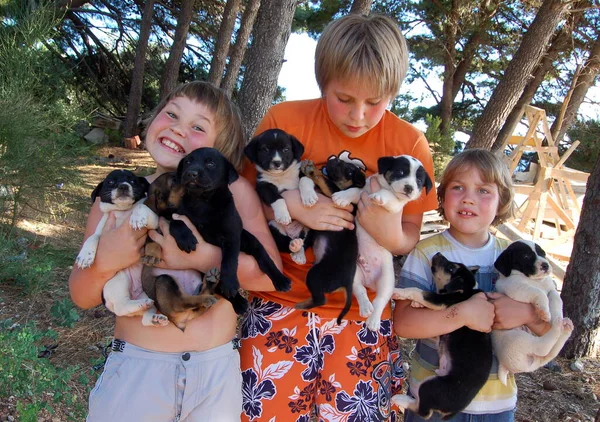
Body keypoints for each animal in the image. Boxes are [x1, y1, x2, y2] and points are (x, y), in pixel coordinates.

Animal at [75, 168, 155, 316]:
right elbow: (92, 237)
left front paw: (136, 218)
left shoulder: (153, 221)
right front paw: (85, 256)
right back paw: (142, 305)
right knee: (121, 307)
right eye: (111, 182)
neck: (122, 211)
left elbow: (140, 207)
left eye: (132, 181)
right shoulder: (101, 231)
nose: (123, 186)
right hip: (119, 281)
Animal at [168, 147, 292, 314]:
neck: (203, 201)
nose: (190, 173)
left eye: (211, 163)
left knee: (266, 260)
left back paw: (281, 280)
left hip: (251, 241)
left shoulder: (231, 236)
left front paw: (229, 283)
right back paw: (239, 303)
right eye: (187, 161)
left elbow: (229, 260)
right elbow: (175, 222)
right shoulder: (179, 213)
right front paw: (186, 239)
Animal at [294, 153, 368, 324]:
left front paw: (312, 170)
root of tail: (348, 282)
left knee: (321, 300)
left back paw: (301, 305)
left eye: (350, 171)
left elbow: (324, 180)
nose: (334, 159)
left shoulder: (333, 193)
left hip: (315, 275)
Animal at [330, 153, 434, 332]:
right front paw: (342, 197)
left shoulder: (396, 206)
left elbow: (390, 196)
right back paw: (366, 307)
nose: (409, 188)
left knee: (380, 301)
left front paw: (380, 195)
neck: (384, 185)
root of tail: (371, 283)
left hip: (387, 281)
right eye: (401, 172)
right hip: (355, 273)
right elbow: (355, 190)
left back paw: (373, 320)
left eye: (419, 181)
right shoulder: (363, 192)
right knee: (360, 290)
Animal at [490, 239, 576, 384]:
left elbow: (556, 299)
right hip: (518, 339)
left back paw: (564, 326)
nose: (546, 265)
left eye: (543, 253)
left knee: (549, 353)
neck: (533, 280)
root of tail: (503, 365)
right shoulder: (517, 288)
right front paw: (545, 312)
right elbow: (539, 292)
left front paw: (555, 315)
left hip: (535, 353)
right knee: (541, 347)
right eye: (526, 256)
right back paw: (558, 326)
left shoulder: (551, 290)